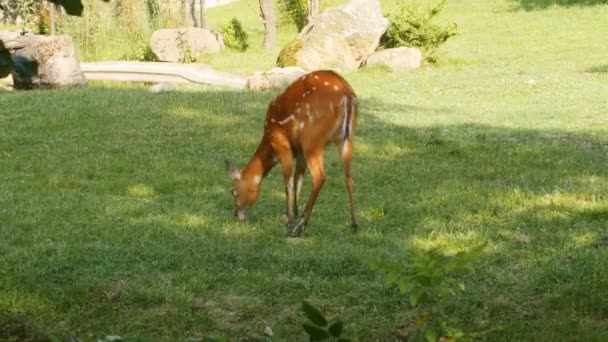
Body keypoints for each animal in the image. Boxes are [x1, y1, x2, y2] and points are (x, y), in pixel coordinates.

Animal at [226, 68, 358, 236]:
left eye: (233, 191)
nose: (236, 215)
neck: (268, 137)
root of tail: (348, 96)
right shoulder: (300, 152)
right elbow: (298, 180)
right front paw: (295, 214)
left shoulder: (282, 143)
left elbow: (288, 181)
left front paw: (289, 221)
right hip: (346, 138)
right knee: (348, 177)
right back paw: (354, 224)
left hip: (311, 140)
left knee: (319, 176)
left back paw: (299, 227)